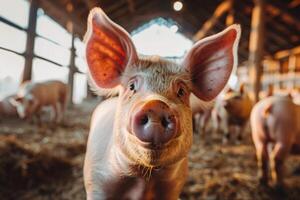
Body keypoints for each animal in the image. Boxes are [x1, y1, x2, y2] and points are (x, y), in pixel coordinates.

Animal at [82, 7, 241, 199]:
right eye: (132, 86)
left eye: (181, 91)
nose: (156, 105)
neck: (144, 179)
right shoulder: (96, 184)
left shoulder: (172, 189)